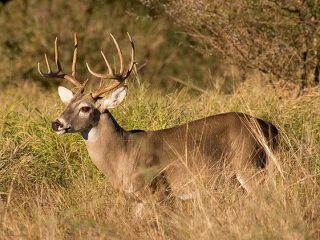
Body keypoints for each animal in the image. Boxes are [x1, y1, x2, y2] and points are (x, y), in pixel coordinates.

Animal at [37, 33, 278, 210]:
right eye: (67, 104)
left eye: (85, 108)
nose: (56, 123)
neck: (123, 153)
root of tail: (269, 126)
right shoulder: (137, 201)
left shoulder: (156, 191)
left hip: (250, 165)